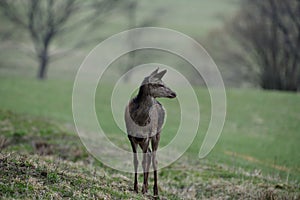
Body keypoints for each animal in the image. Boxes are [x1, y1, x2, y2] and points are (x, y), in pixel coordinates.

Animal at [123, 67, 176, 197]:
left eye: (163, 82)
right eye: (159, 84)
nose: (174, 93)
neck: (139, 120)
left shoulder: (146, 137)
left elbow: (143, 161)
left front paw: (141, 188)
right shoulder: (131, 137)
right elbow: (136, 161)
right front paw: (135, 187)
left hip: (157, 134)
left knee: (154, 159)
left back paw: (155, 190)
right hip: (143, 140)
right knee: (150, 154)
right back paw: (147, 187)